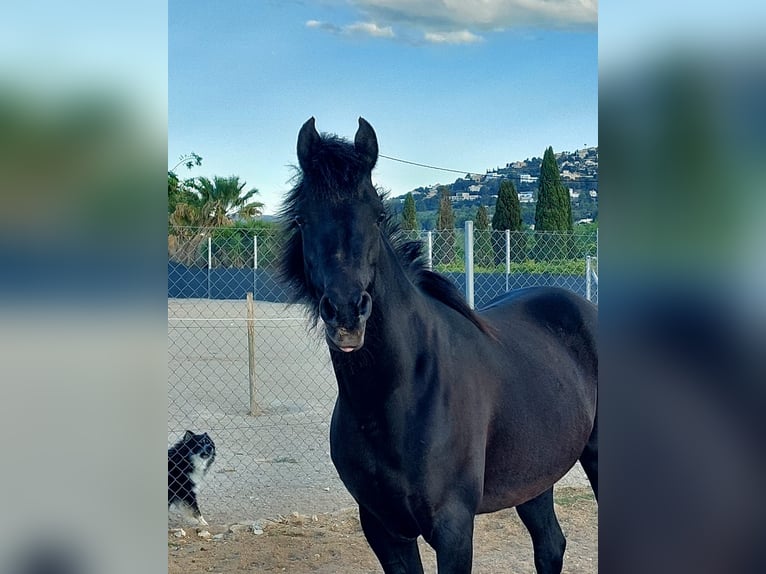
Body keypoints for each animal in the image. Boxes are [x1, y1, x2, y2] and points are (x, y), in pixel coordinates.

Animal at [282, 118, 600, 574]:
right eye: (303, 219)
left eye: (378, 215)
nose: (346, 312)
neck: (400, 395)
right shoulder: (384, 530)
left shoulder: (452, 528)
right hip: (534, 475)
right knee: (550, 545)